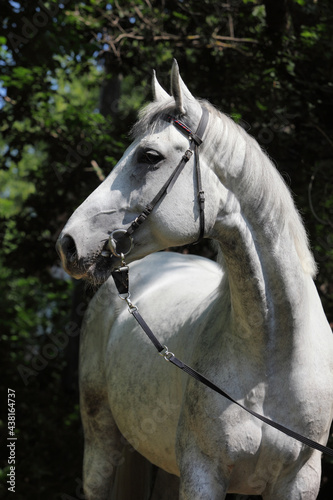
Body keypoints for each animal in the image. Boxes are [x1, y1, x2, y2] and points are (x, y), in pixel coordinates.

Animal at [57, 60, 332, 498]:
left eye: (149, 156)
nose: (68, 243)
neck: (275, 355)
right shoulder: (203, 474)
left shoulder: (300, 480)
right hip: (101, 444)